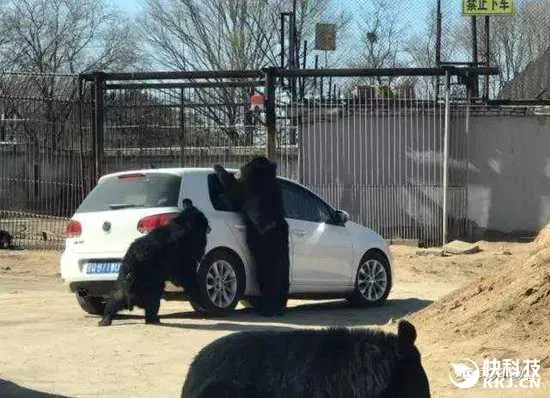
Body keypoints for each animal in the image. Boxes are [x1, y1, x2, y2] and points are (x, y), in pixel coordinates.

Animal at [215, 157, 294, 316]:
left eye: (244, 166)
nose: (237, 171)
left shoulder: (253, 191)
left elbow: (235, 192)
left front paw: (219, 168)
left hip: (267, 249)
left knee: (270, 278)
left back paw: (269, 308)